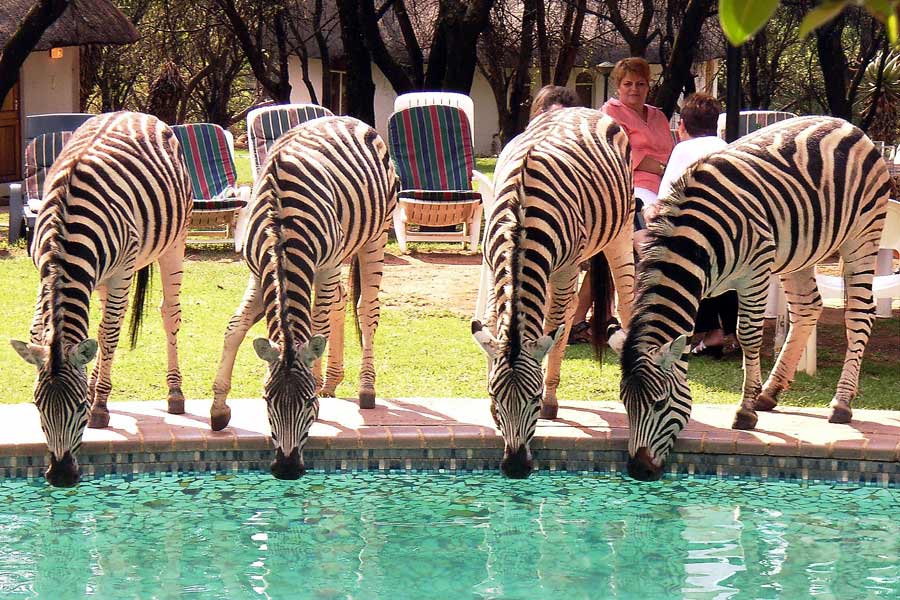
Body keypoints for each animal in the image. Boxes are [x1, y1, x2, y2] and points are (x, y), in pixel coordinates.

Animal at [8, 112, 192, 488]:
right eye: (37, 406)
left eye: (78, 407)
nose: (61, 475)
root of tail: (136, 113)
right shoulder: (43, 273)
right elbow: (41, 333)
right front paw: (95, 392)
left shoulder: (122, 271)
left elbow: (108, 336)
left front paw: (99, 406)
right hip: (106, 277)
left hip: (174, 241)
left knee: (168, 314)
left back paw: (174, 393)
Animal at [211, 115, 398, 478]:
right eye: (266, 401)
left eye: (308, 402)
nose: (286, 468)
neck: (280, 225)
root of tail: (346, 118)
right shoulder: (258, 270)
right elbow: (234, 328)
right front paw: (218, 407)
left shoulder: (324, 264)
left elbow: (317, 328)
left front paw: (317, 382)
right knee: (341, 299)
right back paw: (333, 380)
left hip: (376, 235)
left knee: (366, 309)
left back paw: (365, 388)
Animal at [474, 108, 636, 478]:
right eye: (495, 396)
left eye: (532, 398)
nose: (515, 467)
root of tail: (581, 109)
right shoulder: (492, 263)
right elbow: (492, 321)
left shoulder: (565, 270)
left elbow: (554, 329)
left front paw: (549, 399)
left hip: (619, 232)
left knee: (625, 298)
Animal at [620, 118, 892, 482]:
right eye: (625, 404)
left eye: (660, 403)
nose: (638, 470)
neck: (699, 243)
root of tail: (846, 125)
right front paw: (754, 398)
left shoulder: (755, 273)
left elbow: (748, 334)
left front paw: (745, 412)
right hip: (799, 253)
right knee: (807, 308)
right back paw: (770, 393)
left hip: (862, 236)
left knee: (860, 314)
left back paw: (841, 402)